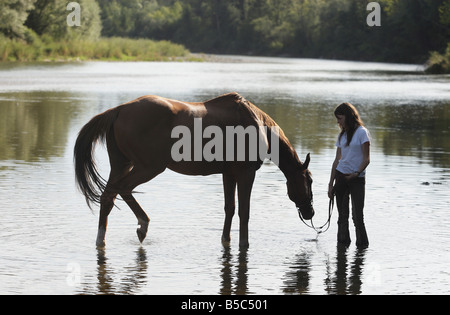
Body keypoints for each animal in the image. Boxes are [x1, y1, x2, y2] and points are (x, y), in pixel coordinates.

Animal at [74, 92, 314, 248]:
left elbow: (230, 208)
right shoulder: (246, 174)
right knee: (123, 190)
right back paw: (142, 225)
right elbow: (244, 212)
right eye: (310, 181)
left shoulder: (229, 174)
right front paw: (244, 244)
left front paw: (226, 239)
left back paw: (101, 239)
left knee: (108, 197)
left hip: (122, 165)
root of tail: (120, 109)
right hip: (148, 167)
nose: (310, 212)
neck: (257, 124)